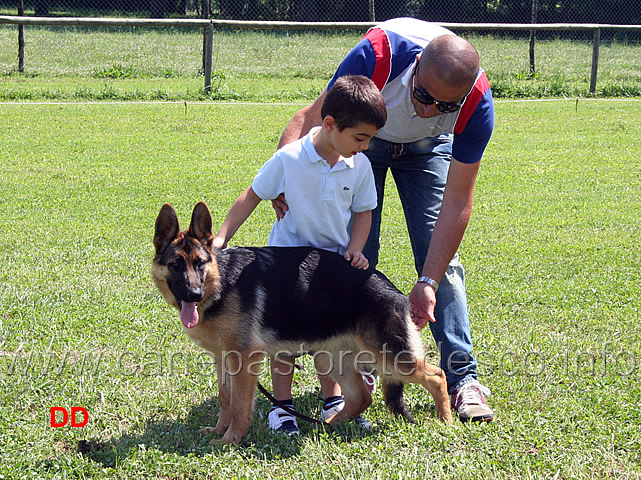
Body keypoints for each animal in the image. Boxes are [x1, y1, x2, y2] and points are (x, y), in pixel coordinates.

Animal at [151, 201, 450, 444]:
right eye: (176, 264)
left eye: (200, 263)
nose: (193, 294)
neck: (221, 283)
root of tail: (394, 291)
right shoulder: (222, 358)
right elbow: (226, 399)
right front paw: (218, 431)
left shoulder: (245, 360)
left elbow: (238, 406)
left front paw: (230, 440)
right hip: (332, 358)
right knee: (362, 396)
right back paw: (329, 424)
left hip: (389, 358)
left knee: (437, 376)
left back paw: (445, 420)